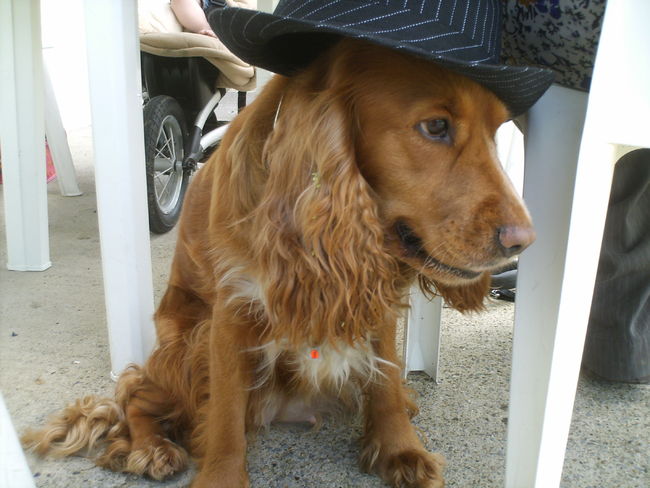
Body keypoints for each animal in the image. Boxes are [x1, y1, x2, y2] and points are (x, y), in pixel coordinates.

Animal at [23, 39, 536, 488]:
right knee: (136, 392)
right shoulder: (231, 311)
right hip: (187, 340)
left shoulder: (375, 297)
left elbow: (386, 378)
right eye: (435, 127)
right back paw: (150, 447)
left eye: (497, 131)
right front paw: (220, 478)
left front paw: (399, 449)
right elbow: (225, 414)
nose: (523, 242)